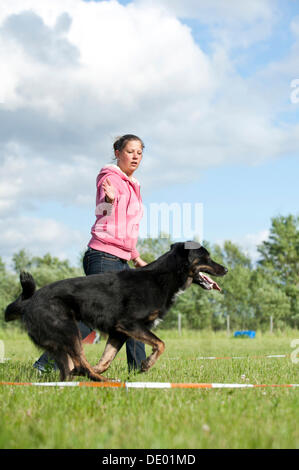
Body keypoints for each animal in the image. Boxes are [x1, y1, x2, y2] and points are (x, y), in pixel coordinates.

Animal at [5, 242, 227, 382]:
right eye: (207, 257)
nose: (226, 269)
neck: (164, 276)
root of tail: (29, 302)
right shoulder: (130, 324)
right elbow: (161, 344)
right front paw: (146, 365)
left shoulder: (118, 332)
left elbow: (106, 359)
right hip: (69, 330)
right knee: (80, 363)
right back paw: (103, 380)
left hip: (61, 340)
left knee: (70, 369)